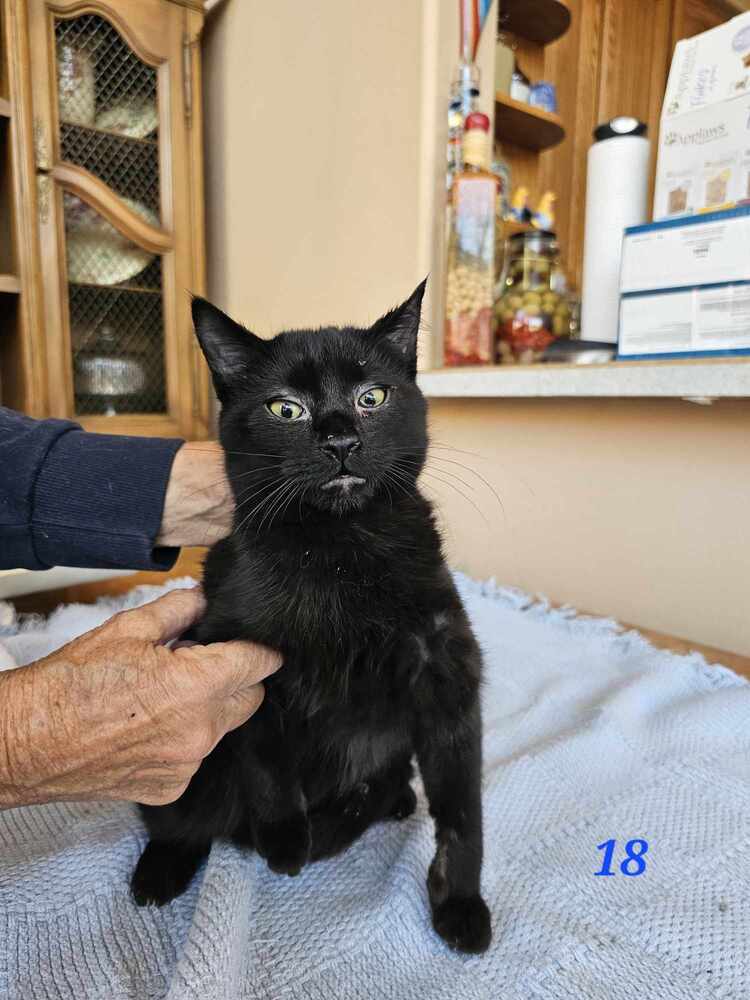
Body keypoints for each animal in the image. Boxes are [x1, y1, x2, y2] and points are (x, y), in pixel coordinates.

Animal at [131, 282, 494, 952]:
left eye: (372, 397)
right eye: (286, 409)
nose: (341, 439)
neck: (341, 548)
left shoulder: (446, 668)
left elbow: (462, 809)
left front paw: (459, 901)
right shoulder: (240, 658)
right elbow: (264, 754)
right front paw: (282, 837)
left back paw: (388, 799)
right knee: (181, 817)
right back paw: (162, 870)